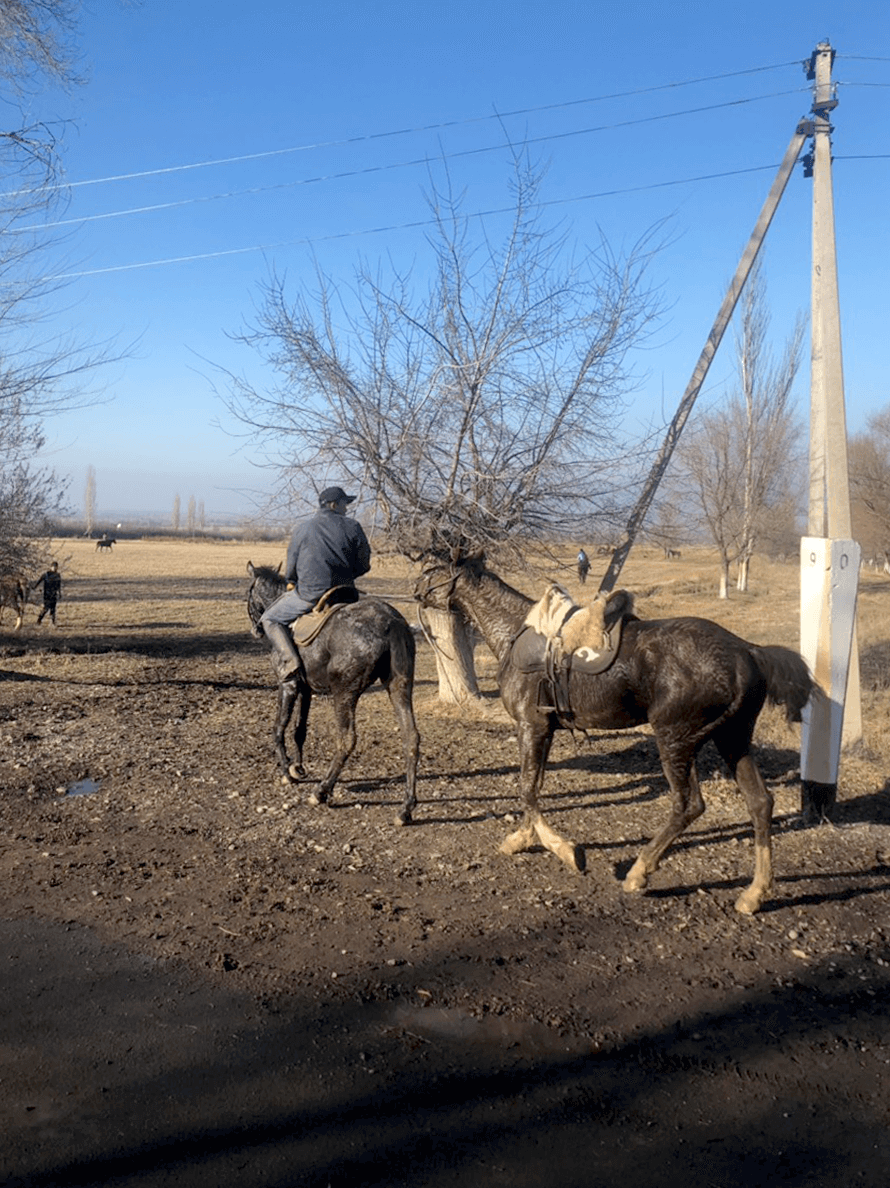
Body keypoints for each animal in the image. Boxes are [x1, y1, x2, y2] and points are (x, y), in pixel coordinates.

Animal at [245, 558, 420, 822]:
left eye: (249, 592)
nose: (256, 630)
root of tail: (392, 623)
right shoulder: (306, 689)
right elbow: (299, 730)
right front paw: (298, 767)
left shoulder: (287, 685)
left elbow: (279, 727)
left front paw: (286, 770)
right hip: (399, 685)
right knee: (411, 737)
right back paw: (406, 808)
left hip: (344, 692)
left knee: (346, 739)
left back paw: (322, 791)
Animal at [413, 551, 817, 912]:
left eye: (433, 569)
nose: (415, 588)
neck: (516, 633)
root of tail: (749, 651)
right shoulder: (544, 730)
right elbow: (533, 787)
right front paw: (524, 837)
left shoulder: (532, 726)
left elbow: (527, 790)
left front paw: (564, 849)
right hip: (732, 739)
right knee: (760, 803)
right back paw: (754, 894)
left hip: (675, 739)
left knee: (688, 804)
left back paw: (639, 872)